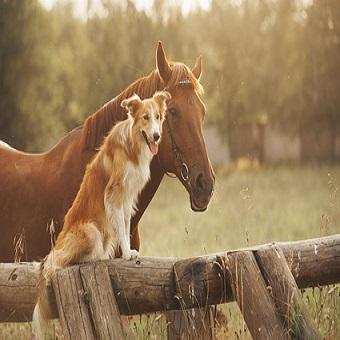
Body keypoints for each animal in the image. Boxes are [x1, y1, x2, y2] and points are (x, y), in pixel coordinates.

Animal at [31, 91, 170, 340]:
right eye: (145, 117)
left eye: (158, 116)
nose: (157, 136)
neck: (133, 145)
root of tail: (58, 244)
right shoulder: (114, 194)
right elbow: (122, 229)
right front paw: (126, 255)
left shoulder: (128, 198)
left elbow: (125, 224)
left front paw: (128, 251)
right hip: (90, 230)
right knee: (63, 261)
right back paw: (96, 256)